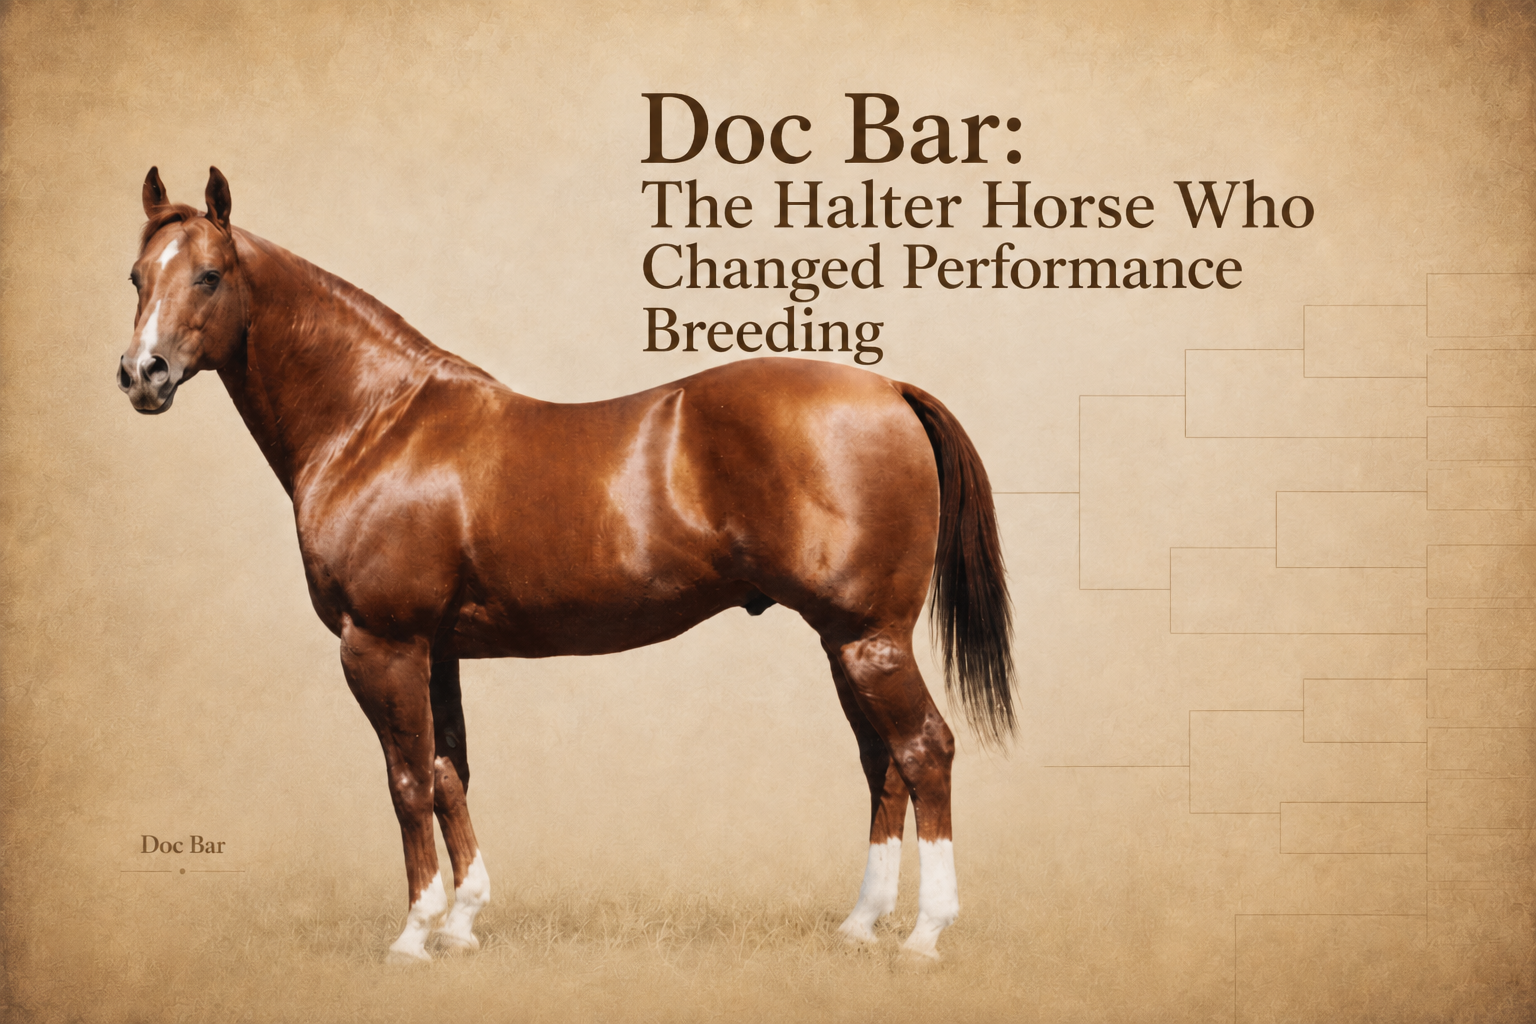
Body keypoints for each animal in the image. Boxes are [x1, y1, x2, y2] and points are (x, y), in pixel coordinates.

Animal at [116, 166, 1014, 963]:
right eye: (135, 276)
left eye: (208, 276)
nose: (140, 375)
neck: (375, 423)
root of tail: (891, 390)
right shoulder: (437, 650)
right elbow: (449, 774)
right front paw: (462, 924)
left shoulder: (380, 644)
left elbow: (407, 783)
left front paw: (414, 935)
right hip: (845, 642)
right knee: (883, 765)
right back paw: (862, 926)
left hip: (869, 638)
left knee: (925, 751)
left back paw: (926, 935)